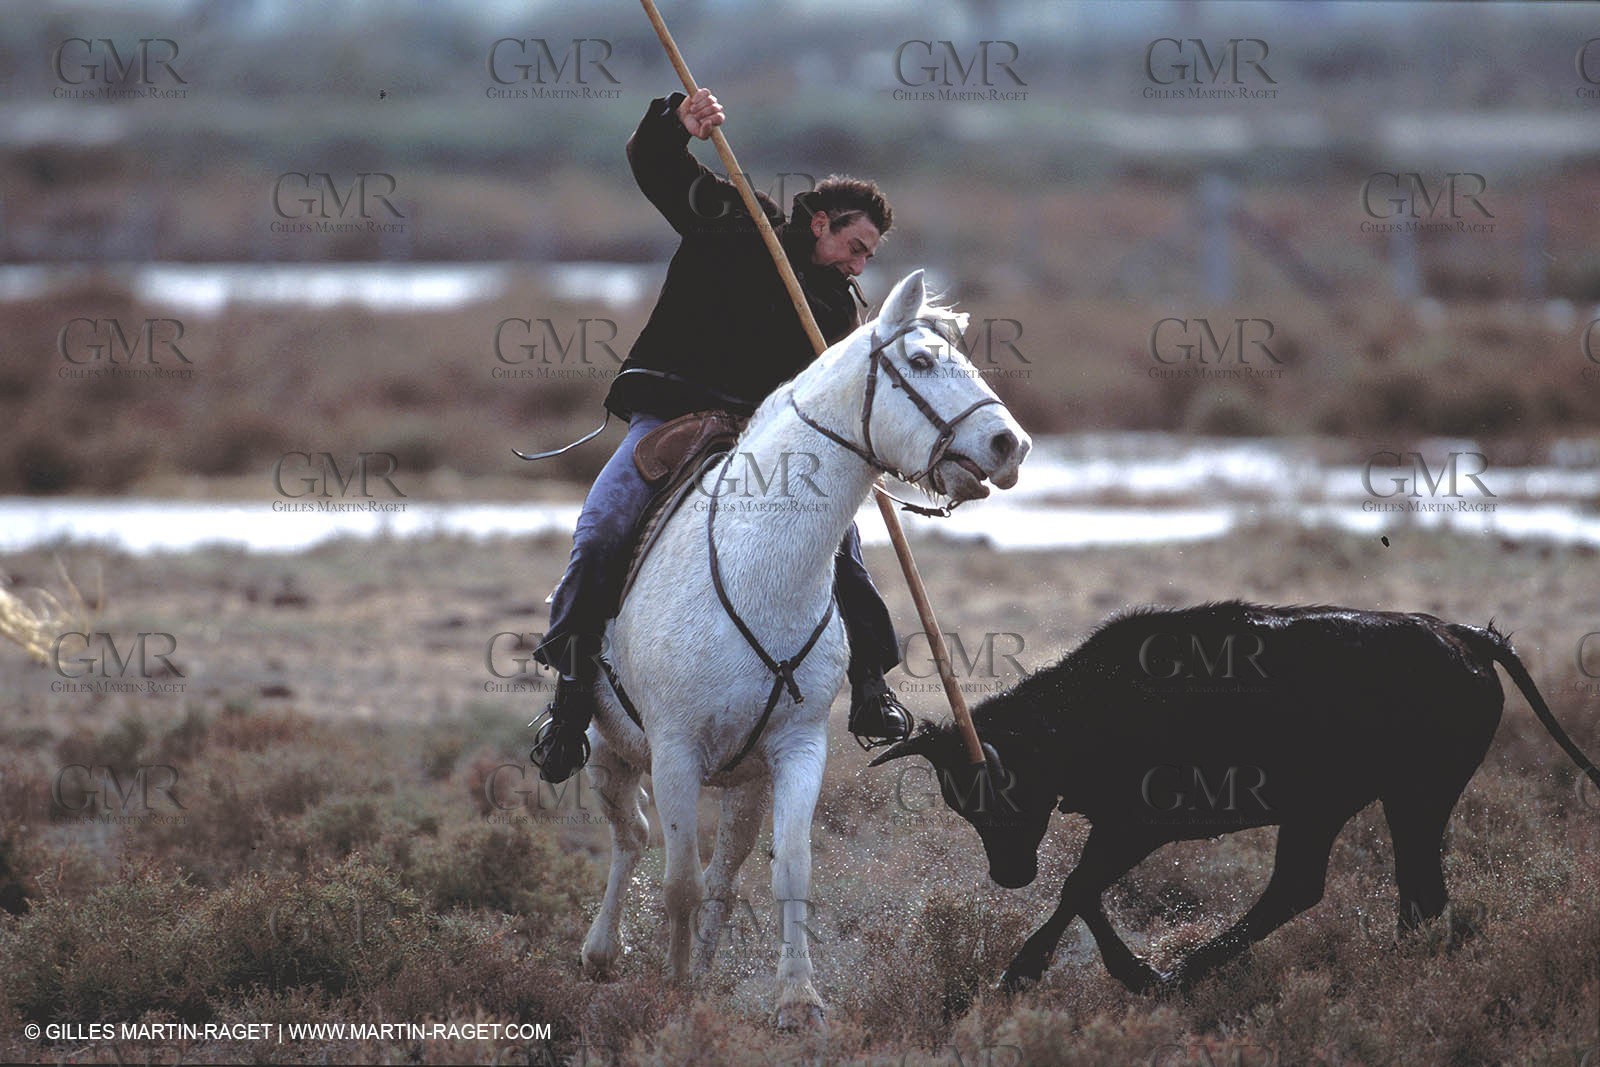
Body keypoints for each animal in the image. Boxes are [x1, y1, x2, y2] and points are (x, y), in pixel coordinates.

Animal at [871, 601, 1600, 993]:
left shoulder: (1141, 824)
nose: (1009, 874)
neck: (1091, 709)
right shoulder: (1120, 826)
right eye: (960, 804)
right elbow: (1085, 889)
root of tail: (1464, 637)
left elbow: (1079, 886)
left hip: (1395, 799)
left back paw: (1192, 970)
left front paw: (1058, 973)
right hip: (1367, 805)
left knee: (1331, 889)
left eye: (999, 792)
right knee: (1382, 892)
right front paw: (1120, 971)